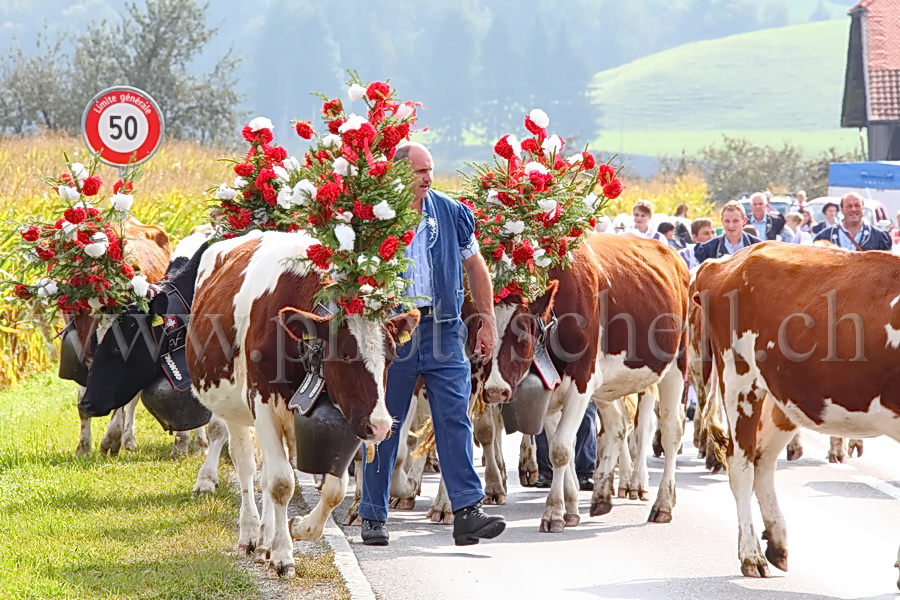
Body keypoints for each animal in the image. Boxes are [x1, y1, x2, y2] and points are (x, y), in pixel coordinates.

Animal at [185, 231, 418, 576]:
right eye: (345, 354)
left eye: (390, 356)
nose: (380, 426)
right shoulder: (262, 403)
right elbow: (282, 483)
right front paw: (283, 555)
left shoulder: (343, 416)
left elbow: (334, 488)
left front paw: (297, 529)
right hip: (236, 411)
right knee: (247, 466)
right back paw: (251, 534)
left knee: (266, 473)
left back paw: (266, 537)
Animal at [482, 232, 684, 532]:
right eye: (478, 329)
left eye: (523, 334)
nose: (496, 390)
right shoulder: (552, 393)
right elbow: (559, 446)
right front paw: (571, 506)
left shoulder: (581, 383)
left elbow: (561, 449)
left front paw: (554, 512)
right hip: (608, 385)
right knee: (617, 427)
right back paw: (602, 496)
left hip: (676, 367)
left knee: (669, 431)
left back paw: (662, 505)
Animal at [692, 240, 900, 580]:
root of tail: (728, 260)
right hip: (739, 379)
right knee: (740, 465)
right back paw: (751, 556)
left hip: (782, 399)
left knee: (762, 461)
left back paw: (775, 543)